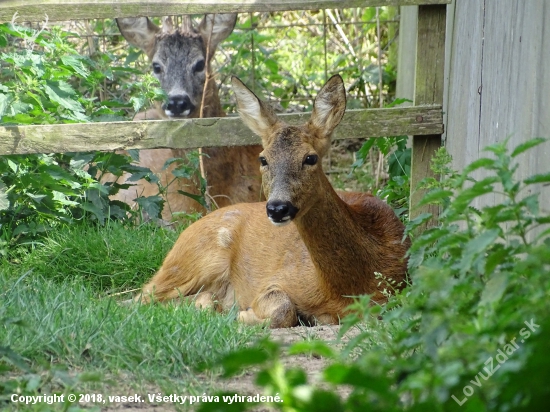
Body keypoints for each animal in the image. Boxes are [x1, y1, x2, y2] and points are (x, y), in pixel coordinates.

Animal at [136, 75, 412, 328]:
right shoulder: (274, 281)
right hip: (196, 258)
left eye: (310, 158)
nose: (278, 208)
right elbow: (283, 308)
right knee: (144, 297)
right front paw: (243, 314)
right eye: (263, 159)